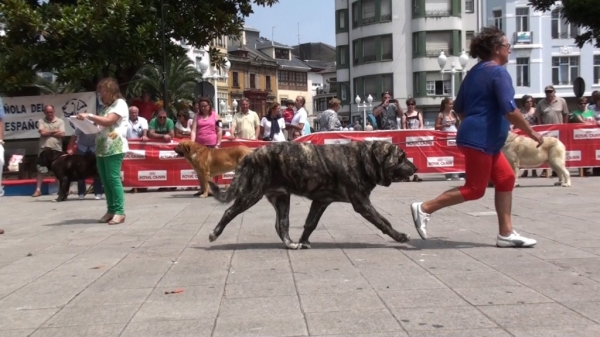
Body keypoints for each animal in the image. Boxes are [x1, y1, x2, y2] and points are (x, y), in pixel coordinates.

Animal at [206, 140, 418, 248]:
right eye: (401, 157)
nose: (415, 167)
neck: (363, 160)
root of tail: (251, 154)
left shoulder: (320, 201)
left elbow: (311, 223)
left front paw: (304, 240)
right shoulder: (362, 203)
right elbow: (383, 221)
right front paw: (400, 236)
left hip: (281, 198)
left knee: (281, 224)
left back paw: (291, 244)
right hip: (251, 193)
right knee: (229, 212)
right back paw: (214, 234)